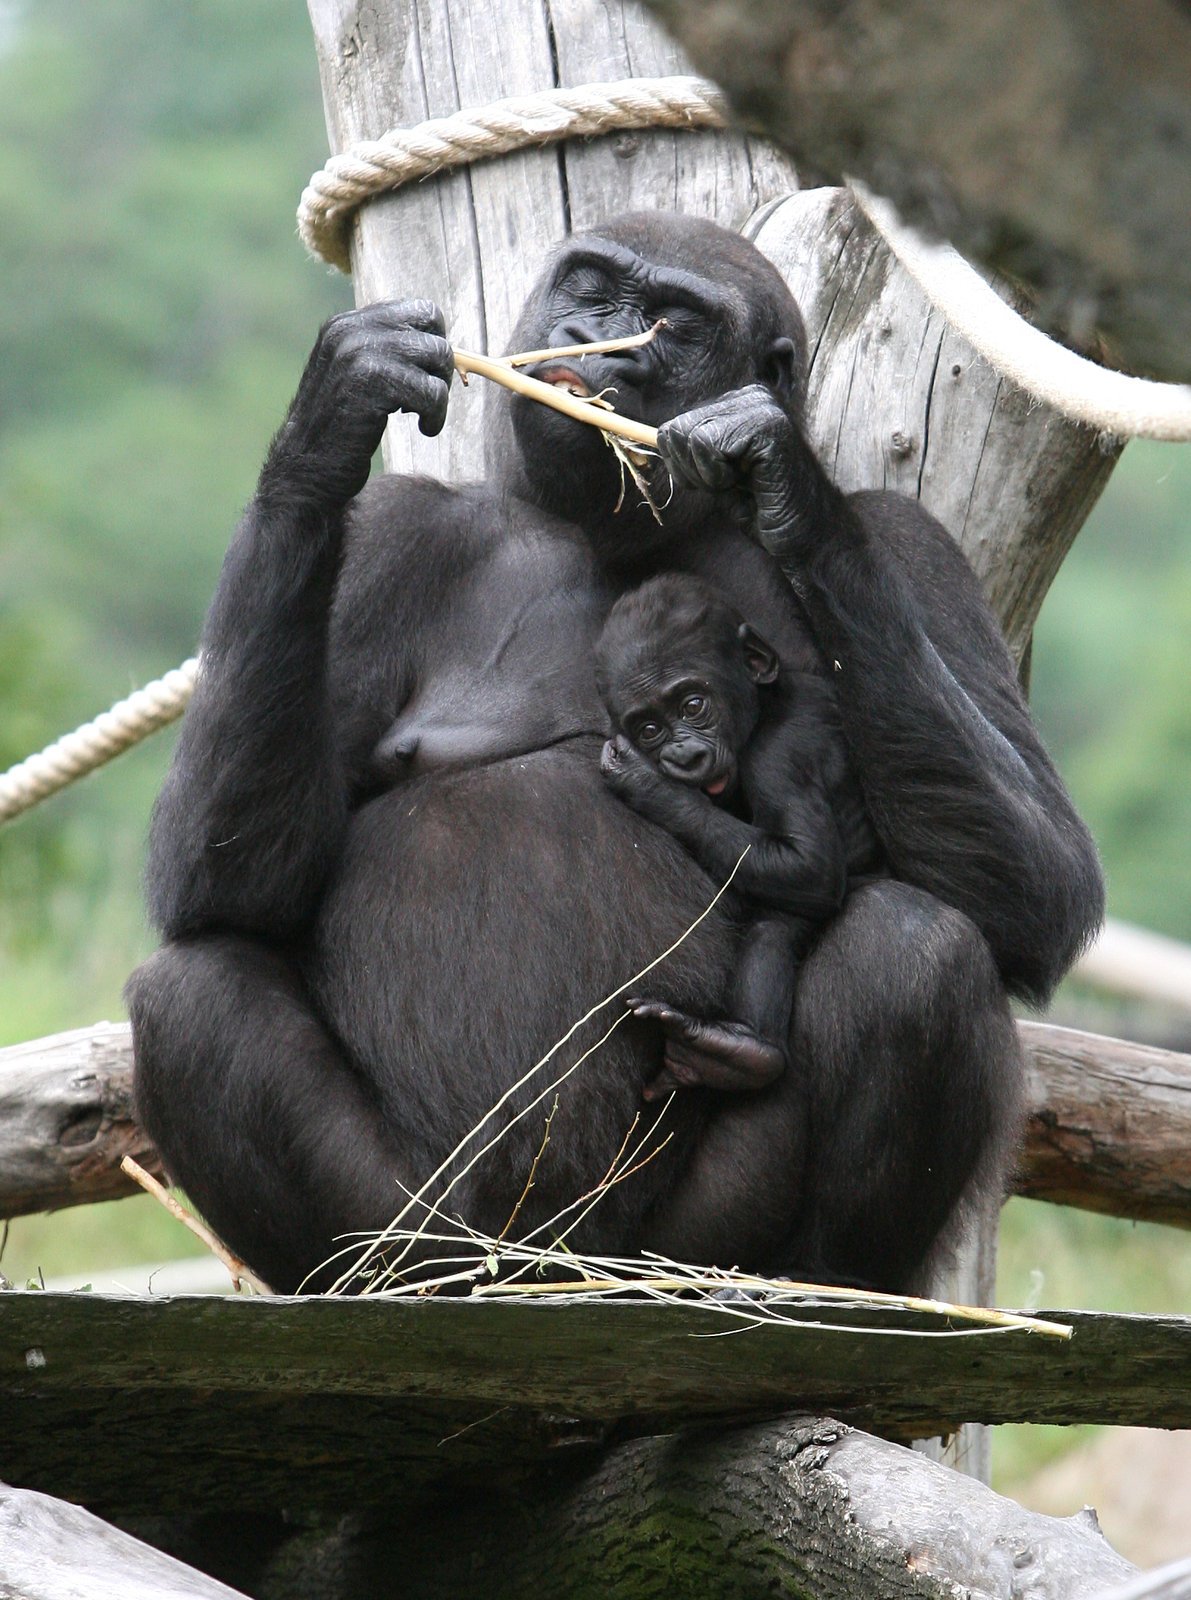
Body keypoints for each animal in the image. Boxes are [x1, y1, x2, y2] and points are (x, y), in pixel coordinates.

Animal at [595, 572, 883, 1100]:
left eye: (693, 705)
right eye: (649, 729)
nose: (685, 756)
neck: (765, 705)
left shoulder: (778, 756)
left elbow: (809, 866)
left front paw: (650, 787)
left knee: (776, 924)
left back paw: (741, 1050)